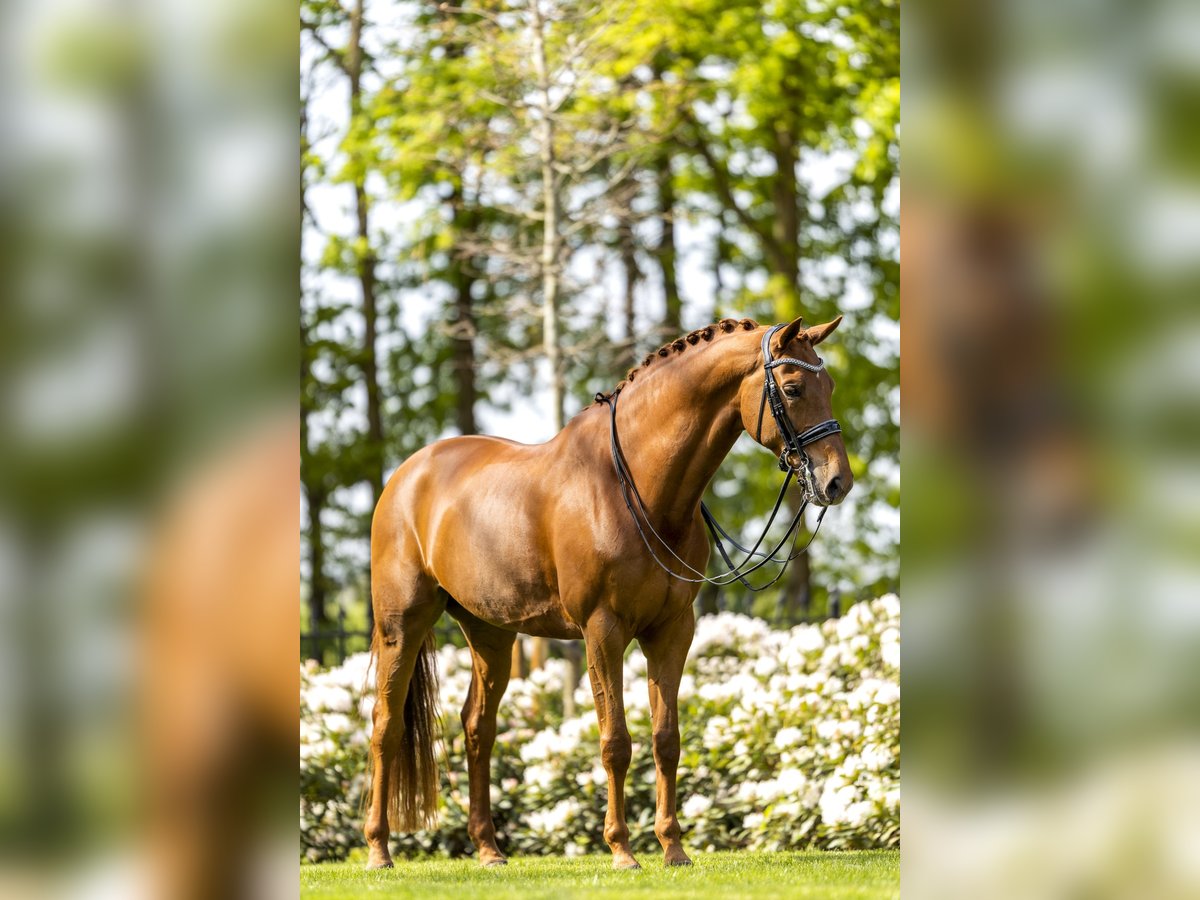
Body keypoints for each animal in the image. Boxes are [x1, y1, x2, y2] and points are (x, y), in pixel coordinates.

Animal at [360, 314, 849, 868]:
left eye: (830, 386)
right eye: (792, 388)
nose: (838, 481)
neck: (635, 487)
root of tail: (406, 475)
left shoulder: (672, 630)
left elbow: (666, 739)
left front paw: (673, 848)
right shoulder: (602, 631)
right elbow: (615, 741)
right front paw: (622, 850)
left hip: (490, 634)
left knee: (477, 727)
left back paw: (488, 849)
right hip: (402, 625)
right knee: (385, 726)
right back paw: (379, 849)